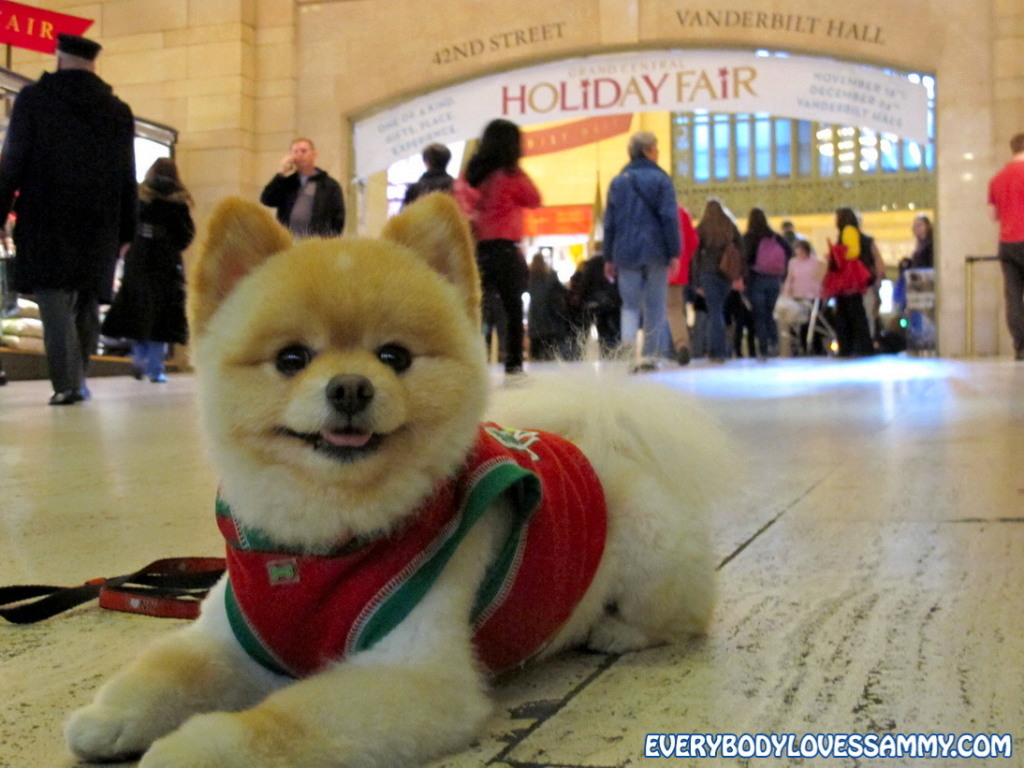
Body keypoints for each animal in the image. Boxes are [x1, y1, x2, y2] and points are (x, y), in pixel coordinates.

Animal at [66, 195, 720, 765]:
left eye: (395, 357)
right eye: (291, 359)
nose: (351, 388)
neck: (323, 542)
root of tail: (604, 441)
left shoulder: (413, 674)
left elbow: (283, 721)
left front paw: (190, 750)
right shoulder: (231, 639)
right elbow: (170, 669)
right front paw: (109, 716)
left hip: (647, 553)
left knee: (679, 619)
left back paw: (612, 631)